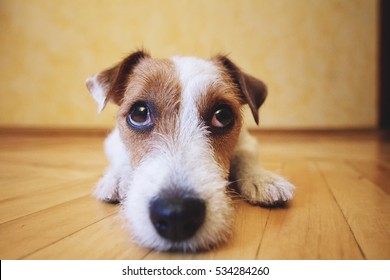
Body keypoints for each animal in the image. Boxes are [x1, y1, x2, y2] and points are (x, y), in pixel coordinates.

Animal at [84, 50, 292, 252]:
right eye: (139, 113)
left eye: (222, 115)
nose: (176, 214)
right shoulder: (112, 141)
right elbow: (121, 155)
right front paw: (117, 177)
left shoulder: (246, 141)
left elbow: (245, 154)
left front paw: (262, 178)